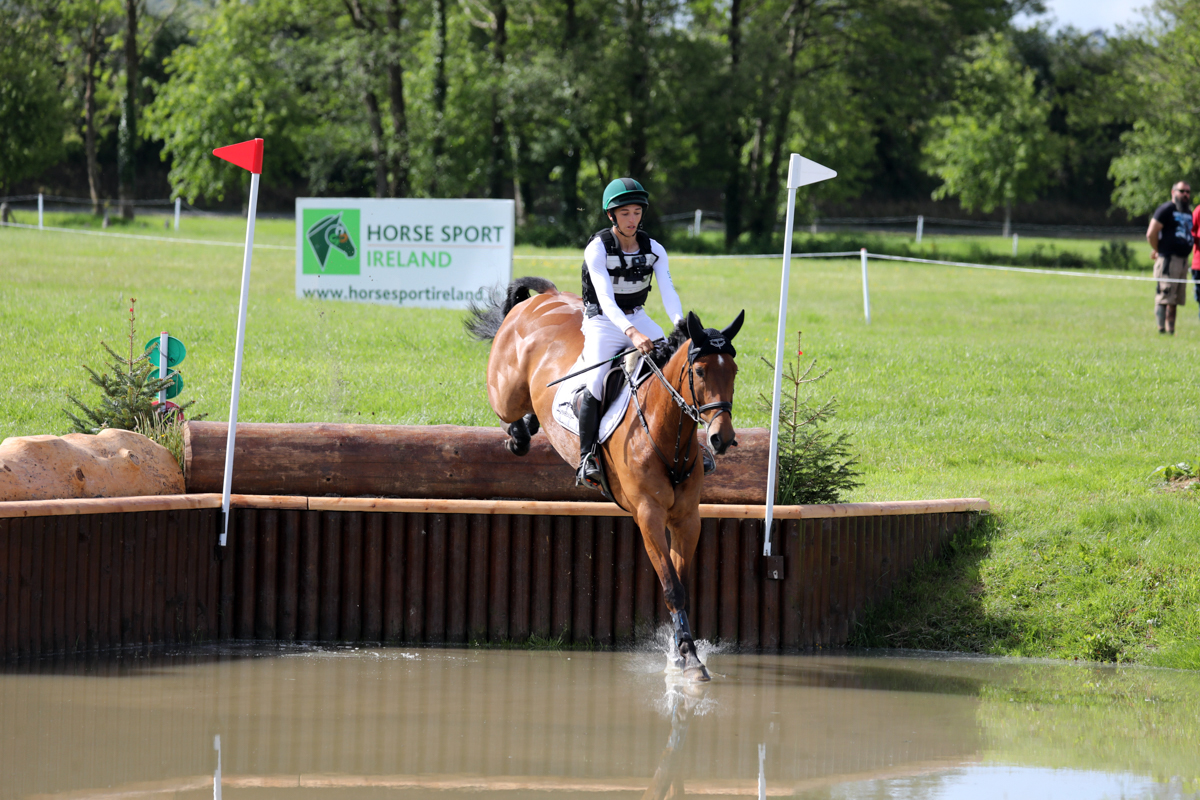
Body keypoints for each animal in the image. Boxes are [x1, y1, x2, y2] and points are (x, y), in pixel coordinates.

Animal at [465, 277, 739, 681]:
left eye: (734, 371)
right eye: (701, 372)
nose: (721, 438)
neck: (664, 429)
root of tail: (543, 298)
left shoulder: (687, 519)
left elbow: (682, 583)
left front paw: (681, 652)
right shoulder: (648, 515)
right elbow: (672, 586)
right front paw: (688, 657)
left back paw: (529, 427)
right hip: (506, 392)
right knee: (509, 413)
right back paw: (519, 434)